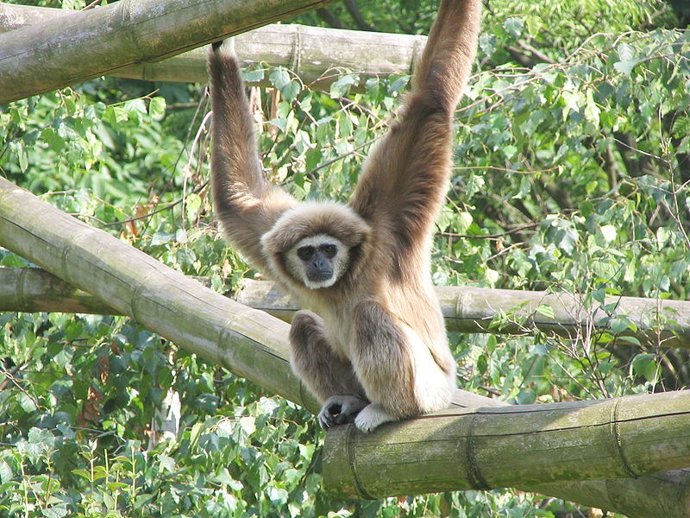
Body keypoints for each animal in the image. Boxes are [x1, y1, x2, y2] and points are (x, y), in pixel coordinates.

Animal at [208, 0, 481, 432]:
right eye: (306, 252)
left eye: (329, 249)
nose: (318, 264)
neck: (349, 274)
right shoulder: (270, 233)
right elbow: (238, 199)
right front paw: (222, 48)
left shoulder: (387, 225)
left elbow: (430, 100)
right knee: (304, 324)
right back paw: (347, 400)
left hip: (432, 390)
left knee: (368, 315)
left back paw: (389, 409)